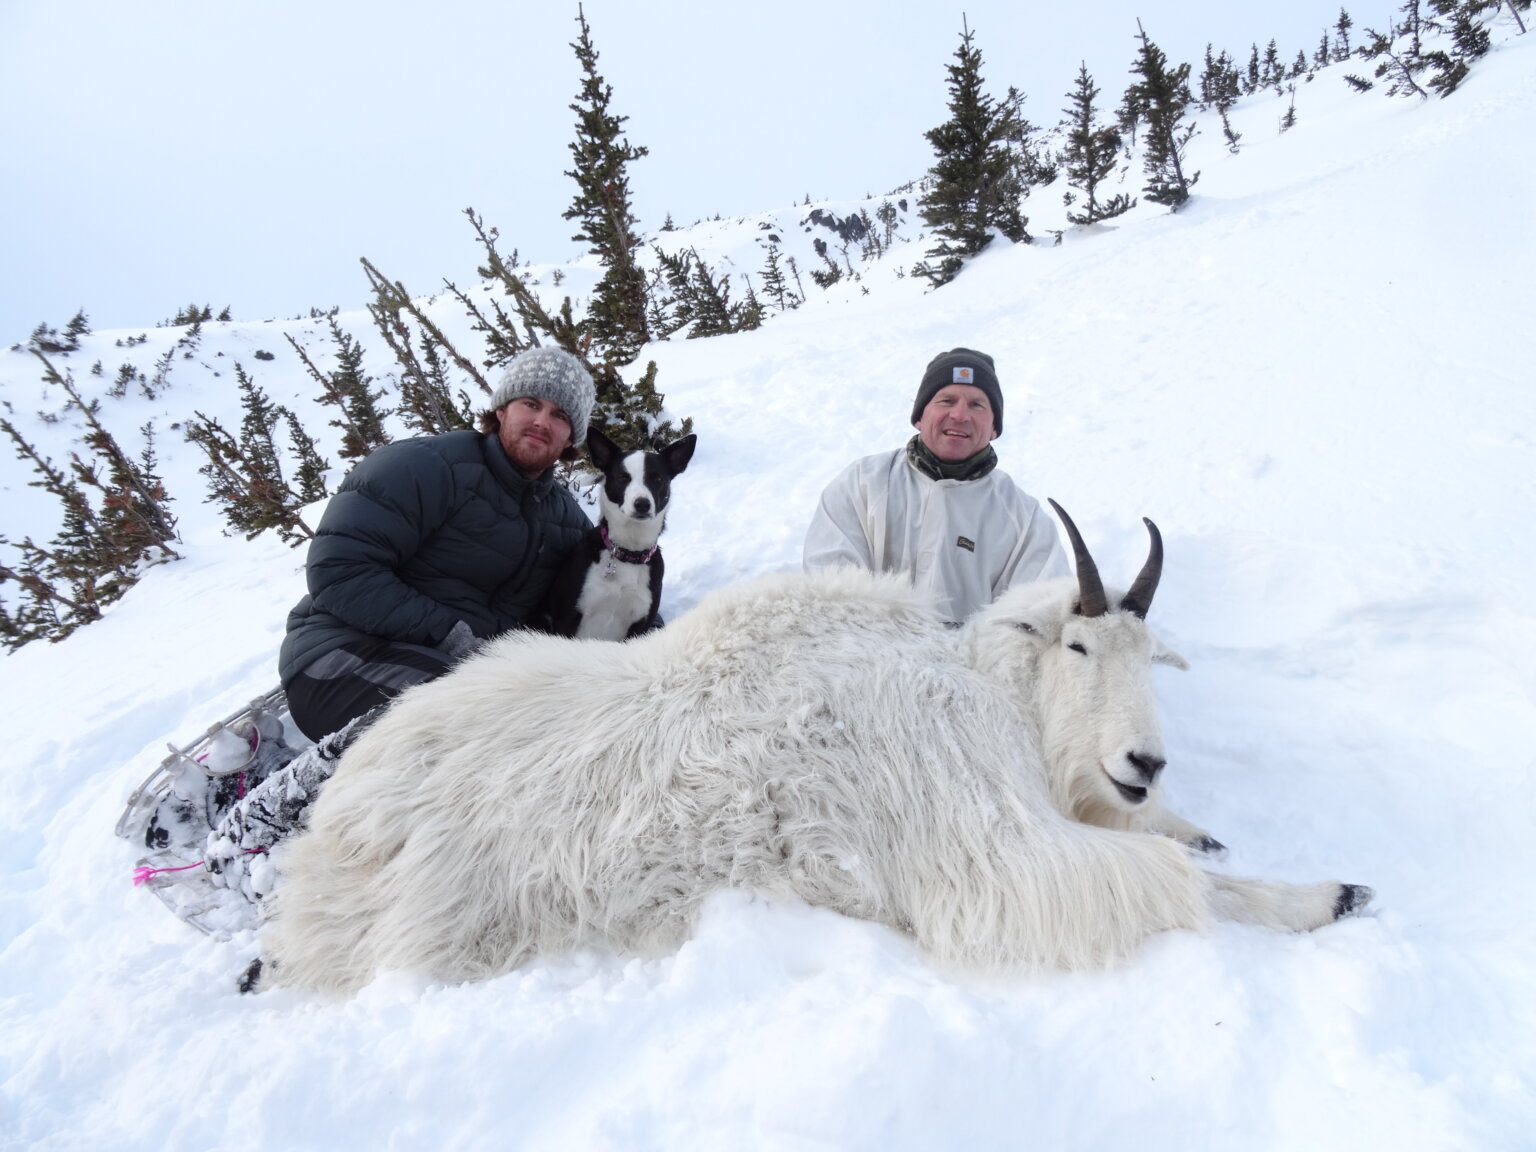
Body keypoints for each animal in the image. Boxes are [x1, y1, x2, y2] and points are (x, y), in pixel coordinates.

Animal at [260, 505, 1371, 993]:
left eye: (1152, 658)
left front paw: (1207, 830)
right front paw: (1328, 894)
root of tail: (321, 839)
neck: (990, 694)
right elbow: (1178, 884)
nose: (1144, 764)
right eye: (1081, 645)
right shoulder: (995, 856)